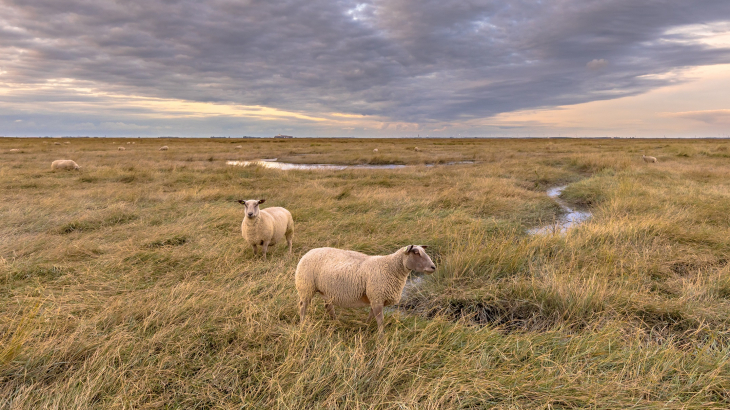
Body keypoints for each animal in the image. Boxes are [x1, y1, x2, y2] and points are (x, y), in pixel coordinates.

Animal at [294, 245, 436, 332]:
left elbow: (371, 315)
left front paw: (365, 328)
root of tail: (308, 252)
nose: (433, 267)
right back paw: (302, 324)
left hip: (326, 291)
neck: (391, 267)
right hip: (306, 286)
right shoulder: (377, 296)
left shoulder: (375, 297)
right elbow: (380, 320)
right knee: (303, 306)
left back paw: (335, 322)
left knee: (328, 307)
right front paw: (381, 339)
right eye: (416, 253)